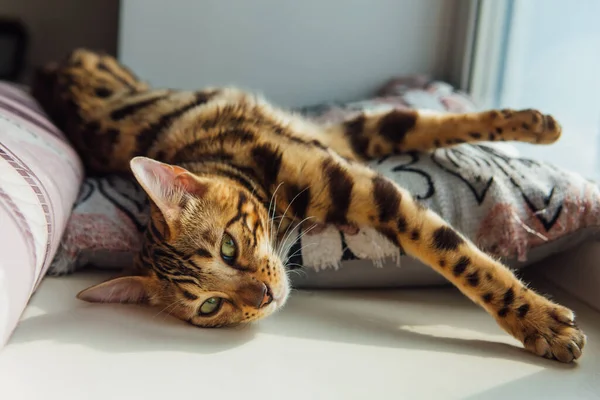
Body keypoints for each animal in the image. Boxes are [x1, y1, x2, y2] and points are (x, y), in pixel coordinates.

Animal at [32, 49, 584, 362]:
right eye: (209, 306)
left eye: (228, 247)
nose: (263, 296)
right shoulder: (352, 167)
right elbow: (457, 251)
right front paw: (540, 323)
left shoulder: (345, 164)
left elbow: (418, 125)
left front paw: (534, 123)